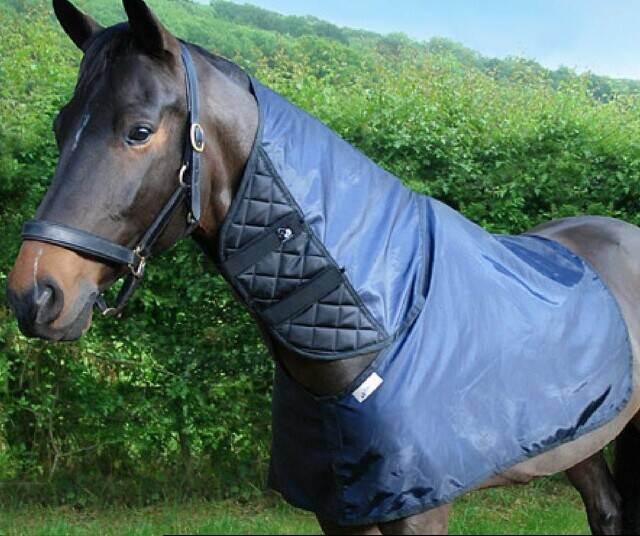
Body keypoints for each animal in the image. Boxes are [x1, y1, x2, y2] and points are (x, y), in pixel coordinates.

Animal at [6, 1, 640, 534]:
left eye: (138, 131)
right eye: (60, 128)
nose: (34, 294)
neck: (381, 319)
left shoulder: (419, 511)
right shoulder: (341, 510)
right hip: (584, 437)